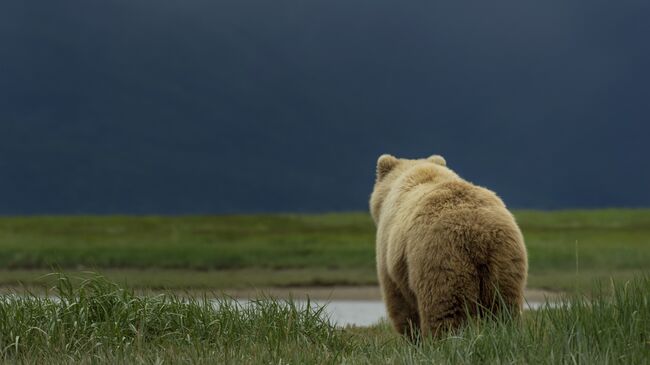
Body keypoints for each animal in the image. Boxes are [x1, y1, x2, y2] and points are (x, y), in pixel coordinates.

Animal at [368, 152, 524, 336]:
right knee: (503, 307)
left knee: (445, 310)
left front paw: (412, 336)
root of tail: (478, 233)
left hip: (441, 259)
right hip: (505, 262)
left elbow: (400, 304)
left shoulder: (390, 254)